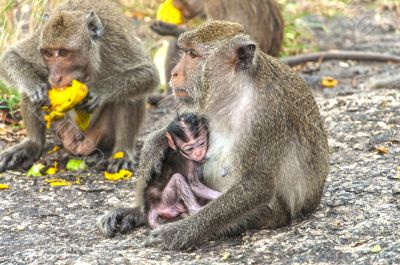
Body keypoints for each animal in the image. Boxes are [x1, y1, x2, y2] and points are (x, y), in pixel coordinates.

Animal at [0, 0, 159, 172]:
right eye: (49, 53)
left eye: (63, 52)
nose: (55, 77)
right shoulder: (39, 39)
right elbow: (12, 57)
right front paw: (33, 86)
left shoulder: (116, 42)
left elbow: (148, 74)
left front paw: (98, 92)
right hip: (60, 128)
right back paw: (33, 143)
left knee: (131, 95)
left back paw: (122, 152)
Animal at [98, 21, 330, 250]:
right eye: (186, 52)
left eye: (193, 54)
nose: (174, 73)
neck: (237, 92)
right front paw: (155, 144)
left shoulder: (266, 116)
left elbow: (256, 186)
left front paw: (177, 233)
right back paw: (138, 212)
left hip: (274, 215)